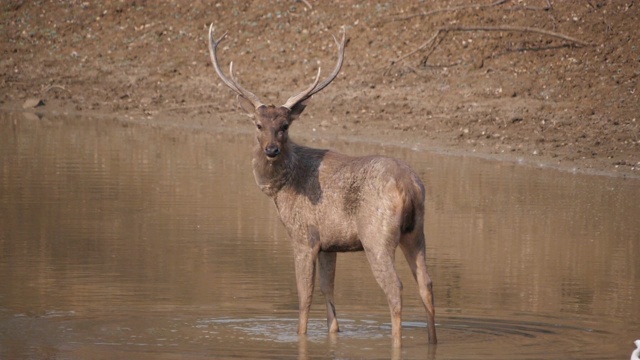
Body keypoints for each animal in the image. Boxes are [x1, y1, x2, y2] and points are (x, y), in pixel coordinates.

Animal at [208, 24, 438, 346]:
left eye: (285, 126)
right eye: (258, 124)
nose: (270, 149)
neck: (281, 187)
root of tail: (409, 187)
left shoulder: (304, 235)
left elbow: (304, 296)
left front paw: (300, 337)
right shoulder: (331, 243)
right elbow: (328, 290)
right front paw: (333, 334)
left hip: (377, 235)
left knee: (396, 288)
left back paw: (397, 343)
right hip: (416, 231)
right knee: (426, 283)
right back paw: (432, 341)